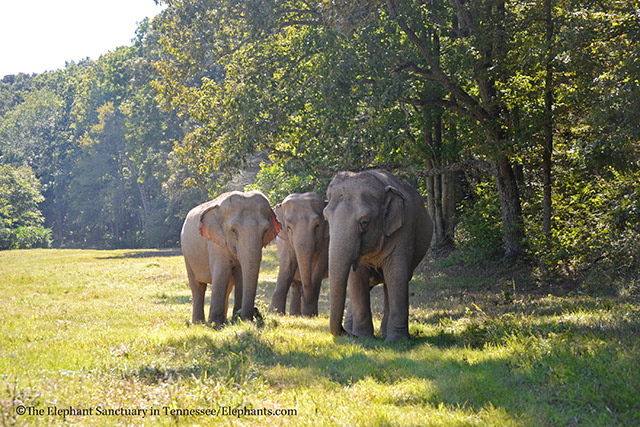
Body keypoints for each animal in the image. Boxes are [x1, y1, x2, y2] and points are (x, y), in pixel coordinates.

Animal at [180, 191, 280, 328]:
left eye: (265, 230)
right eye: (233, 230)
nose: (254, 314)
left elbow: (241, 276)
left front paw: (236, 321)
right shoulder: (216, 242)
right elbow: (222, 272)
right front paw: (215, 325)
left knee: (227, 288)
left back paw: (224, 321)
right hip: (187, 253)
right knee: (198, 286)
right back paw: (199, 323)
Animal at [322, 169, 432, 342]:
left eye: (364, 222)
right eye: (326, 219)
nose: (344, 333)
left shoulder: (404, 230)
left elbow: (397, 275)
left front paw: (397, 341)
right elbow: (356, 279)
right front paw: (363, 337)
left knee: (390, 283)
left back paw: (384, 334)